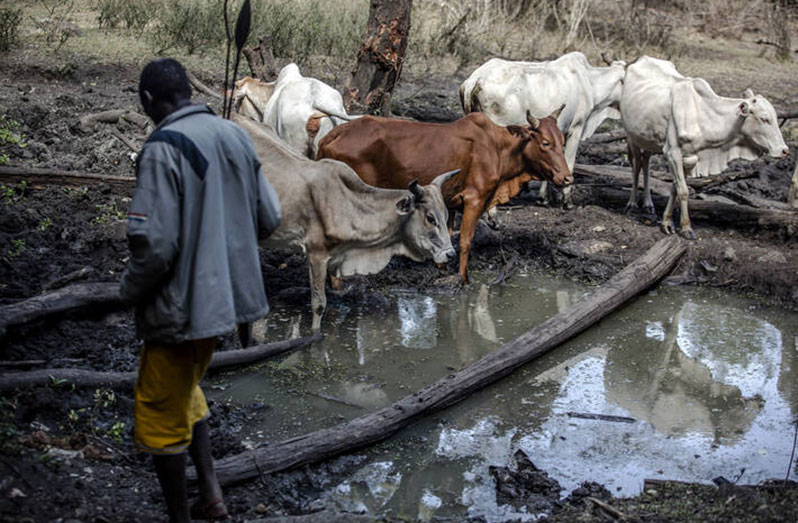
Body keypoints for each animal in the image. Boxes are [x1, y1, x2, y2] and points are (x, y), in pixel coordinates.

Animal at [318, 110, 576, 282]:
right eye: (545, 143)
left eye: (563, 142)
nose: (567, 178)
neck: (499, 147)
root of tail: (333, 135)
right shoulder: (474, 199)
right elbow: (465, 241)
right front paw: (463, 279)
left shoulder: (451, 202)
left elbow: (447, 235)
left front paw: (442, 268)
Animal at [462, 51, 632, 207]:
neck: (591, 83)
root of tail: (475, 80)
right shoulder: (575, 128)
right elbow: (569, 162)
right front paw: (567, 200)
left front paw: (543, 197)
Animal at [620, 56, 792, 238]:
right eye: (764, 119)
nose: (784, 150)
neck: (704, 115)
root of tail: (640, 59)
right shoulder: (672, 153)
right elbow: (683, 190)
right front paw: (686, 227)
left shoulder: (690, 157)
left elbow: (676, 188)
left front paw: (667, 222)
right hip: (632, 137)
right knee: (637, 166)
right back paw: (632, 204)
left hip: (648, 139)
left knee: (646, 163)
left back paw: (648, 203)